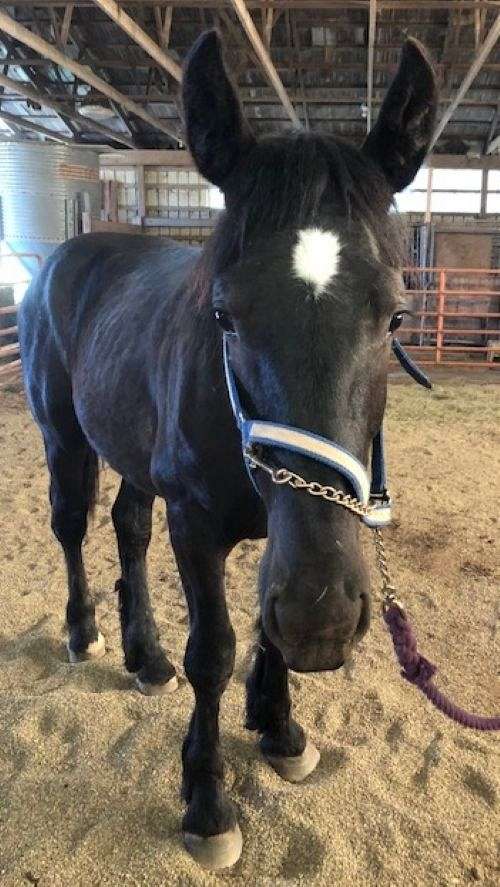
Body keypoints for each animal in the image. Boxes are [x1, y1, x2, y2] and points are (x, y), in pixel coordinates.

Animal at [17, 31, 436, 872]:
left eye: (396, 316)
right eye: (224, 316)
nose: (324, 621)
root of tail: (64, 258)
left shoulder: (287, 532)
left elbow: (265, 621)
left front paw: (280, 728)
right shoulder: (197, 522)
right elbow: (213, 649)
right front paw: (207, 800)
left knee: (128, 525)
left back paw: (145, 658)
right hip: (64, 437)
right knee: (73, 525)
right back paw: (85, 634)